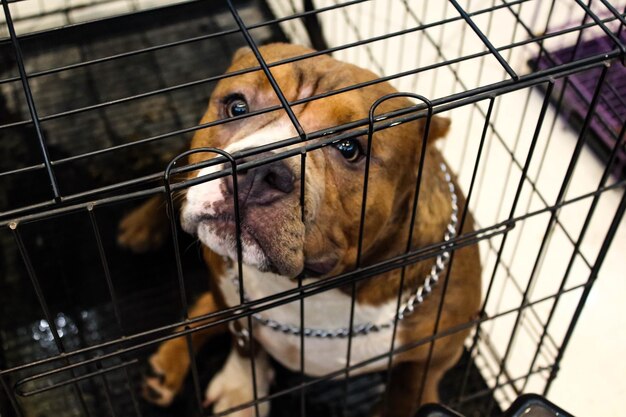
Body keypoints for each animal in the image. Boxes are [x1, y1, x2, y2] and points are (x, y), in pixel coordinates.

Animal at [118, 43, 478, 416]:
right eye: (237, 106)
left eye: (350, 148)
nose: (257, 170)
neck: (307, 289)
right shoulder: (228, 288)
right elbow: (245, 344)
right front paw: (243, 390)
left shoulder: (435, 353)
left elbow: (407, 393)